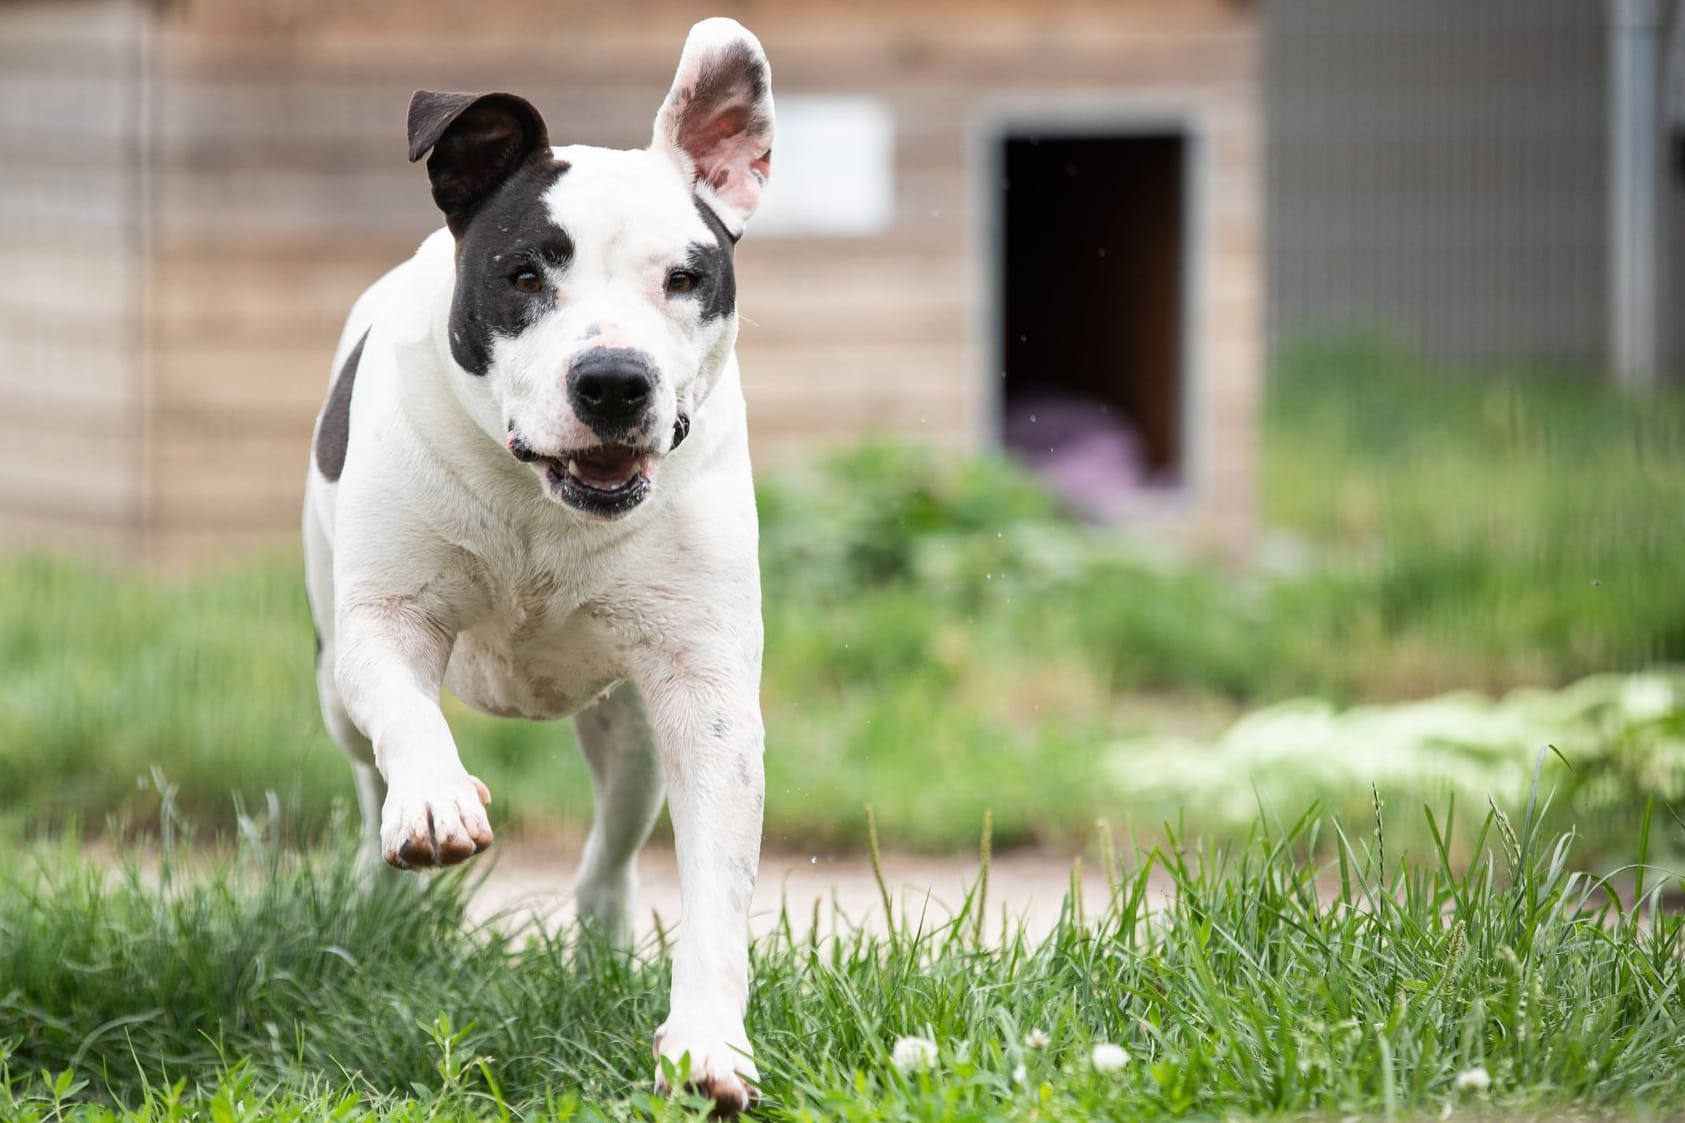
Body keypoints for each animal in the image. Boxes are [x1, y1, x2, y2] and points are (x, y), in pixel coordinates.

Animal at [301, 19, 771, 1112]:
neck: (539, 504)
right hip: (330, 681)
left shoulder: (705, 694)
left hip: (630, 731)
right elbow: (407, 716)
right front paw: (434, 799)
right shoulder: (384, 621)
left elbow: (717, 881)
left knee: (612, 848)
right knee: (363, 768)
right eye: (523, 275)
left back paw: (600, 941)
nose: (613, 380)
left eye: (684, 278)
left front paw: (707, 1043)